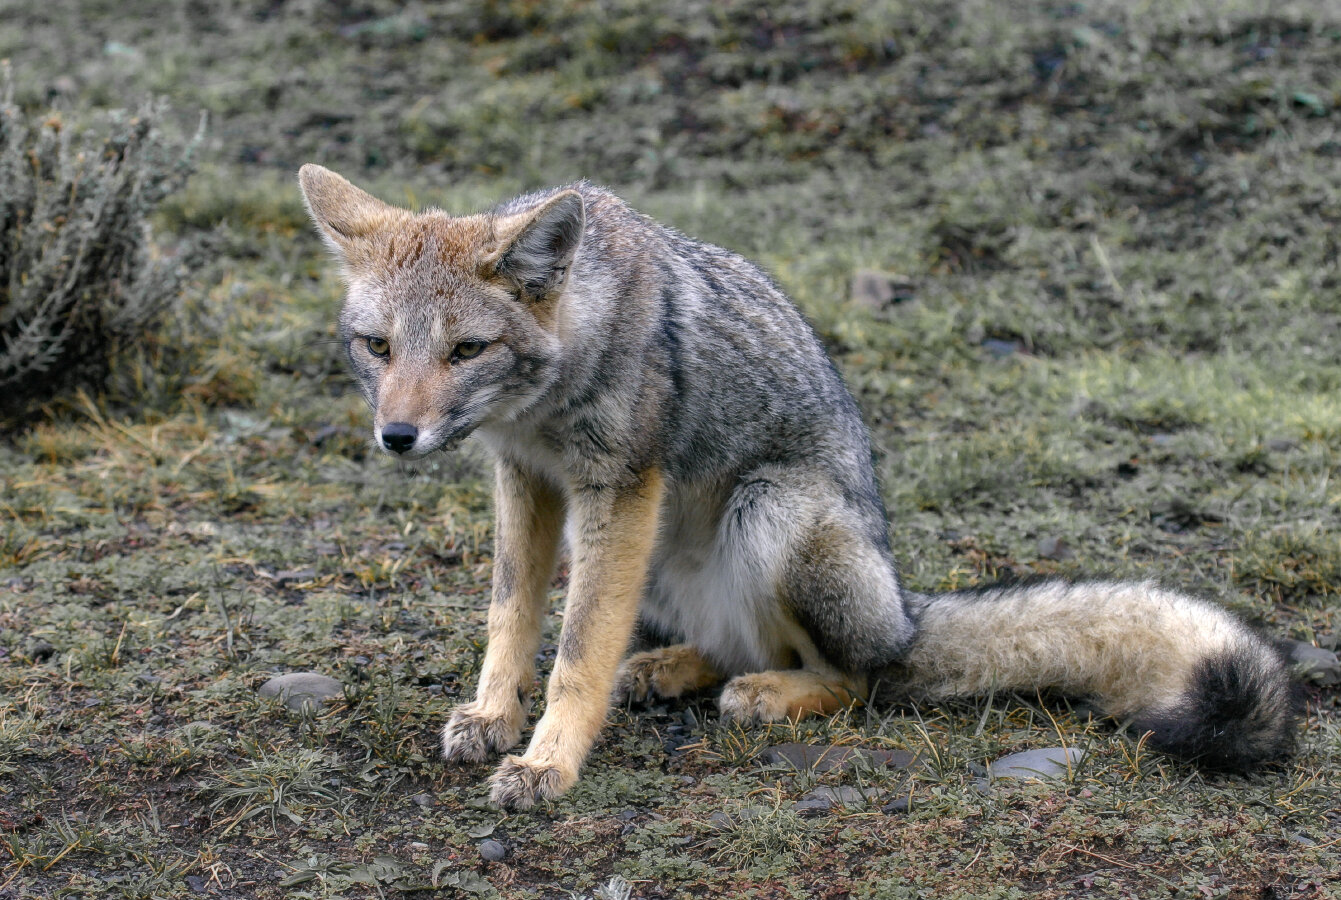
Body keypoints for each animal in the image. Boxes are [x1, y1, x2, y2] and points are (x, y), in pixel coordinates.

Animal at [297, 164, 1298, 811]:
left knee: (853, 677)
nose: (397, 436)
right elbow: (511, 615)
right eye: (377, 347)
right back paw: (671, 667)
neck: (549, 391)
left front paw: (550, 763)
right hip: (662, 555)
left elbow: (577, 648)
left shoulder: (618, 486)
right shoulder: (528, 481)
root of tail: (905, 610)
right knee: (734, 644)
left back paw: (774, 694)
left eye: (466, 349)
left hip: (771, 510)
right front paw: (492, 714)